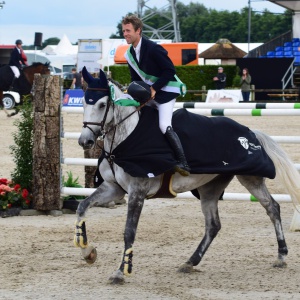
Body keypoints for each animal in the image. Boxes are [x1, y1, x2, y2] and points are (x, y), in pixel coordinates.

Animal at [74, 67, 300, 284]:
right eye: (83, 102)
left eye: (102, 104)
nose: (85, 141)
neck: (124, 139)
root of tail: (250, 132)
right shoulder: (113, 188)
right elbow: (82, 207)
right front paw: (88, 252)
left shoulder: (137, 191)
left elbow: (129, 231)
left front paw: (121, 272)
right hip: (210, 188)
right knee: (213, 225)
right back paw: (190, 262)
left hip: (249, 177)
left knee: (272, 207)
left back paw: (281, 255)